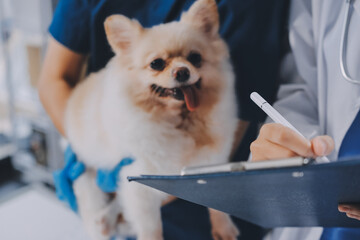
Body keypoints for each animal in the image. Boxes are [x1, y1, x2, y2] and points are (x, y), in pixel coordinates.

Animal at [65, 0, 239, 239]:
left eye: (195, 58)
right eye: (156, 63)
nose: (182, 72)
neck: (179, 122)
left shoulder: (210, 164)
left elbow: (218, 204)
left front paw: (223, 227)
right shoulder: (140, 185)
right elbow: (151, 228)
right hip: (86, 167)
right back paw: (101, 221)